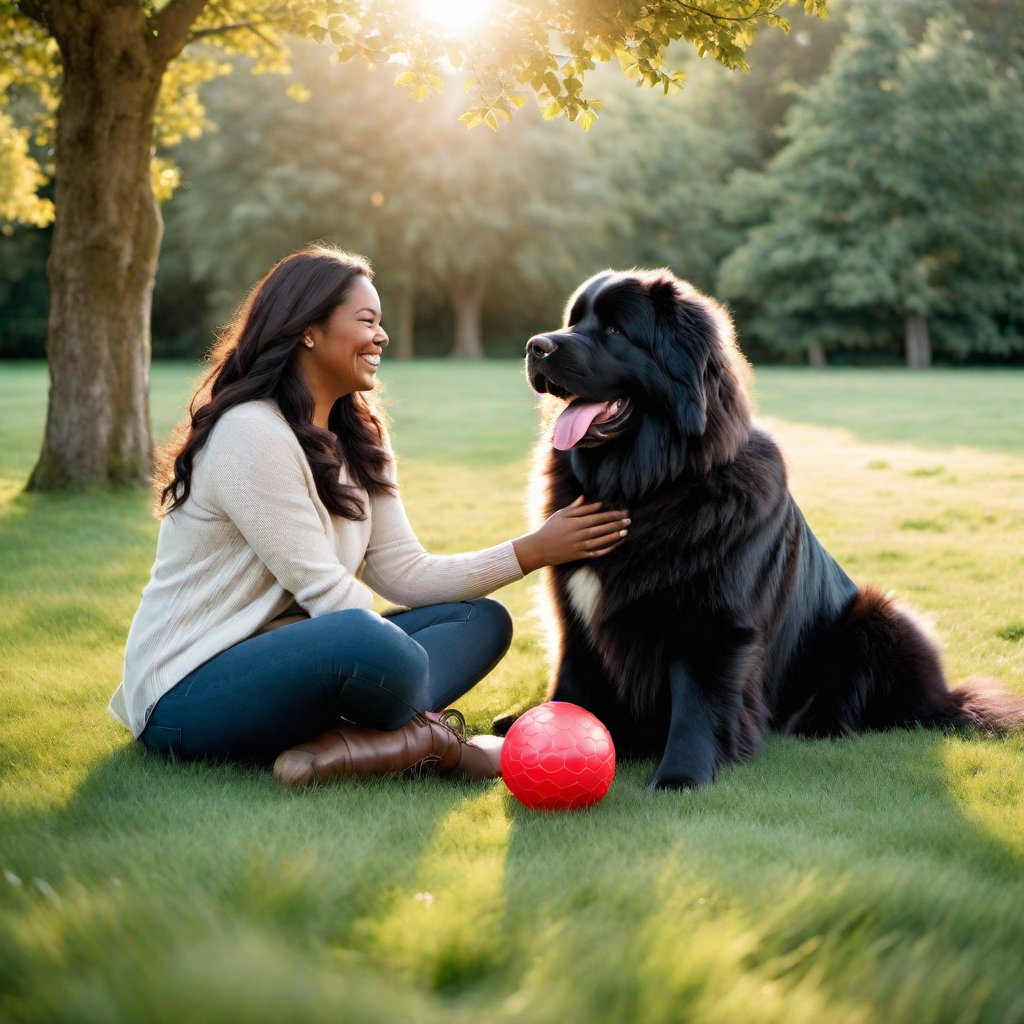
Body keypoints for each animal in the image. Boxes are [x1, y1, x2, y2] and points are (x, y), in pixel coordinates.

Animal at [520, 268, 1024, 786]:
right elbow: (572, 682)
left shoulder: (715, 624)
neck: (645, 486)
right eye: (573, 321)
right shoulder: (576, 614)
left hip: (880, 617)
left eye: (616, 330)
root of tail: (947, 698)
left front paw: (681, 776)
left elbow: (698, 703)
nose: (535, 346)